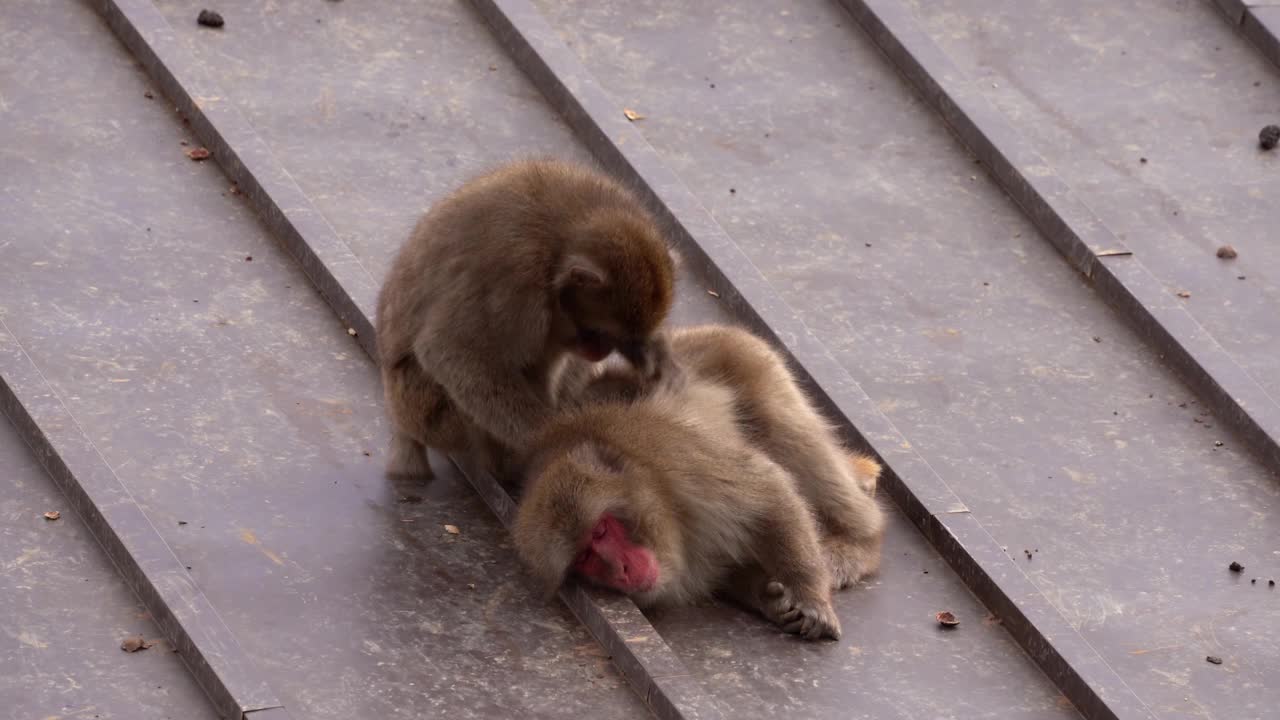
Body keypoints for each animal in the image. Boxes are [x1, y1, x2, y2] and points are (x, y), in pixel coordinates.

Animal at [373, 156, 680, 476]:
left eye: (620, 338)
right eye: (596, 333)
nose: (600, 351)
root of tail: (399, 419)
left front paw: (656, 355)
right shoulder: (513, 279)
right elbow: (451, 351)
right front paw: (558, 434)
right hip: (428, 413)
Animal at [506, 322, 880, 635]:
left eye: (601, 530)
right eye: (585, 557)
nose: (620, 569)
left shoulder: (673, 456)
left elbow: (768, 492)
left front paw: (809, 595)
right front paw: (768, 598)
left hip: (747, 358)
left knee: (785, 426)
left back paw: (861, 541)